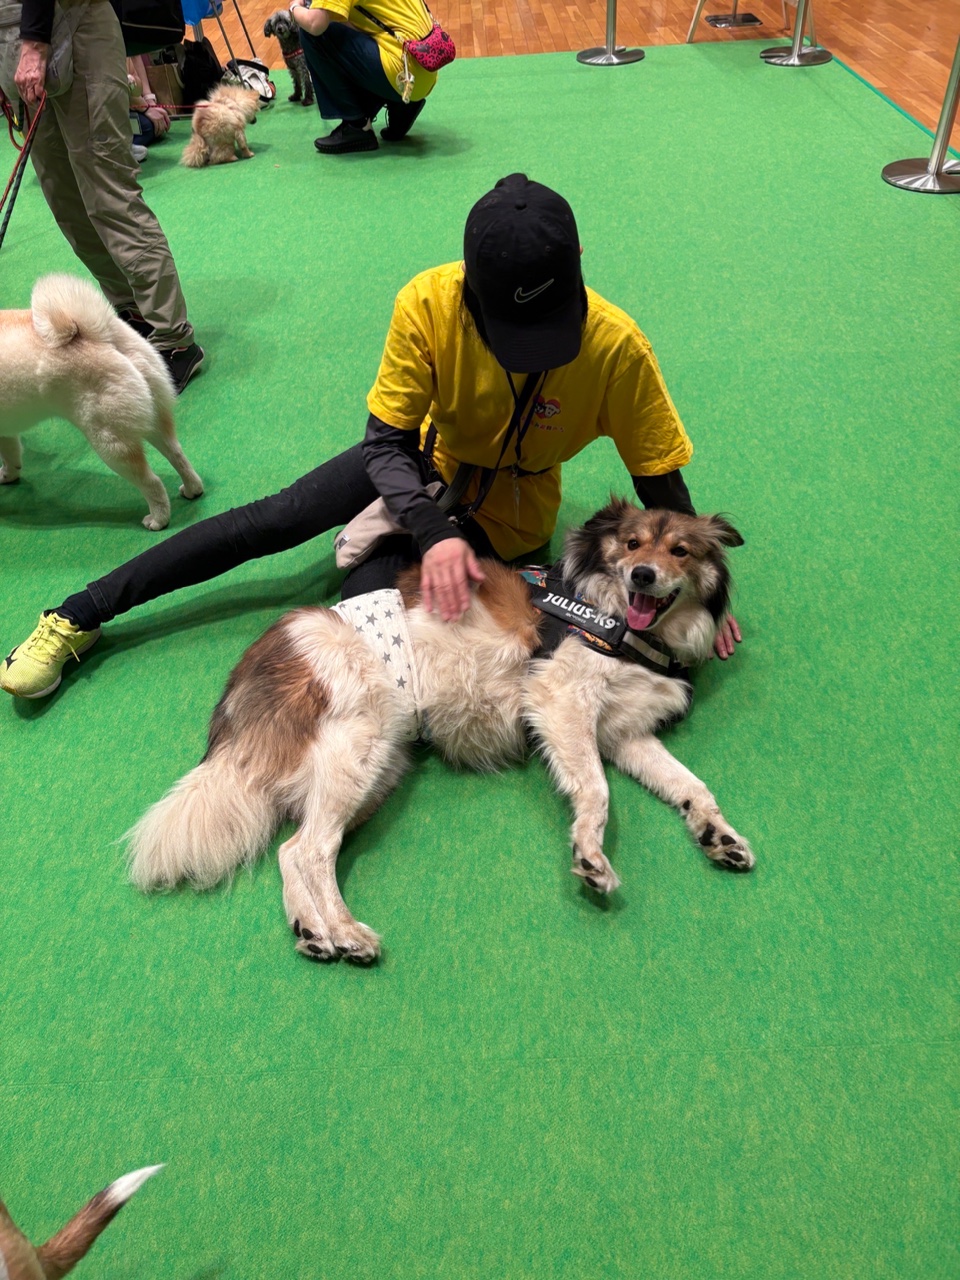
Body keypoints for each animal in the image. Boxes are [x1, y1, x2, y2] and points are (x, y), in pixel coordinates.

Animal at [0, 275, 203, 531]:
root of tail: (102, 337)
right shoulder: (6, 432)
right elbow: (11, 453)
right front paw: (9, 474)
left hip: (109, 441)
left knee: (152, 482)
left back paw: (158, 519)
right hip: (152, 417)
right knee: (177, 454)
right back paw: (192, 489)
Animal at [127, 500, 753, 963]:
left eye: (680, 551)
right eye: (631, 545)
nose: (643, 574)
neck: (626, 626)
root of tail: (265, 654)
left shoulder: (625, 735)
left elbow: (691, 785)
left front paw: (718, 835)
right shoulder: (559, 701)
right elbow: (596, 792)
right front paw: (590, 857)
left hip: (376, 768)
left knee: (290, 848)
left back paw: (311, 931)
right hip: (360, 752)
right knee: (311, 849)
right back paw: (347, 933)